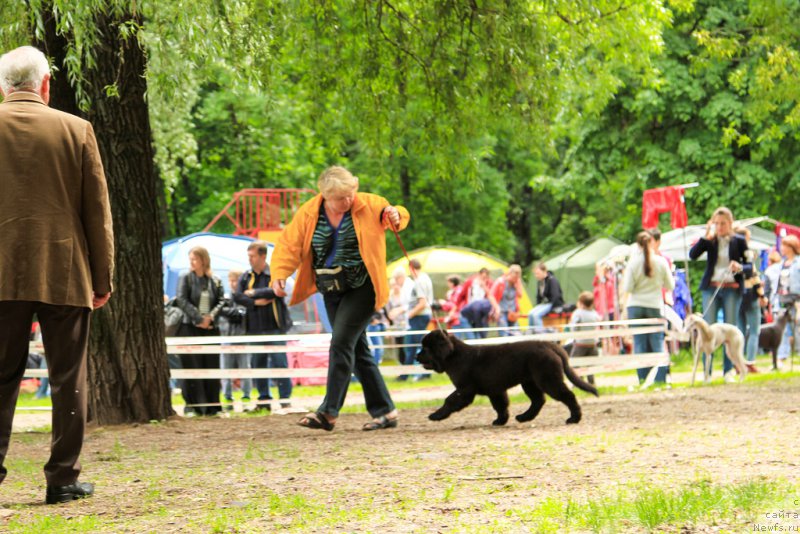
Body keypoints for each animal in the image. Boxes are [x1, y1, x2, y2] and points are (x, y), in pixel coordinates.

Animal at [416, 330, 596, 428]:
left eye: (426, 348)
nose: (417, 357)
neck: (453, 356)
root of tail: (550, 345)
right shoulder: (495, 390)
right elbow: (500, 405)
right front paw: (500, 421)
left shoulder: (464, 389)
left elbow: (449, 400)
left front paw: (436, 415)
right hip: (529, 382)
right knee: (538, 400)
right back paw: (523, 417)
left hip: (548, 379)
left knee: (567, 396)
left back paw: (574, 418)